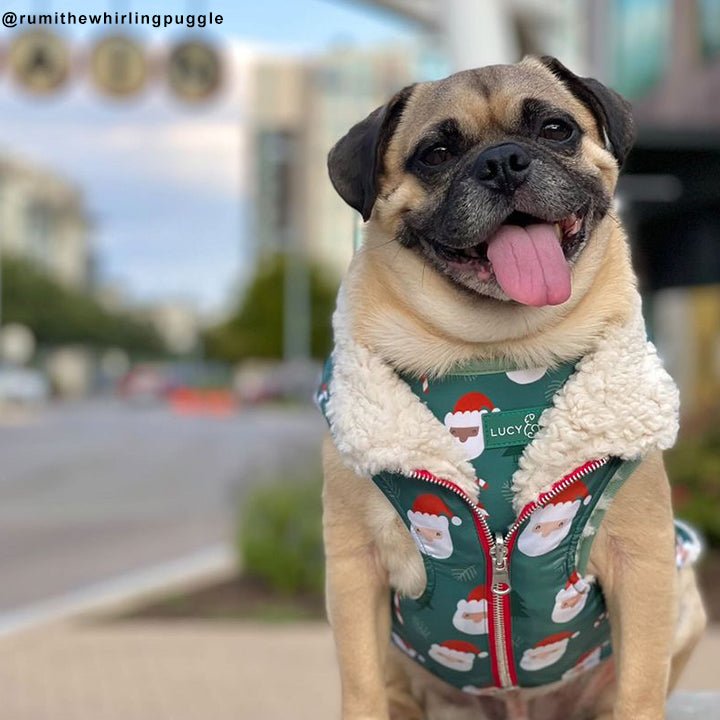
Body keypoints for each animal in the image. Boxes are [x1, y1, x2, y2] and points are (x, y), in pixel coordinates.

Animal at [318, 56, 704, 720]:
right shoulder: (353, 565)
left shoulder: (647, 564)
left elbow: (640, 687)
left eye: (555, 129)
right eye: (436, 154)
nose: (502, 161)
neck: (496, 351)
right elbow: (360, 686)